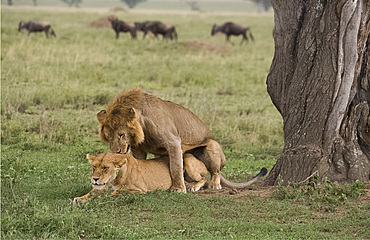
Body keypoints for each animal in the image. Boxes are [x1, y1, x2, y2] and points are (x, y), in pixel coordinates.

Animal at [73, 152, 268, 202]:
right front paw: (79, 199)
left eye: (105, 168)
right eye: (94, 167)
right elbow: (90, 193)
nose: (95, 179)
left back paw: (193, 187)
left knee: (205, 177)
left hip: (186, 162)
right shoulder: (99, 188)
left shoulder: (139, 190)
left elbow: (116, 193)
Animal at [96, 89, 225, 192]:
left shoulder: (173, 142)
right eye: (108, 137)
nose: (116, 152)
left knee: (213, 173)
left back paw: (212, 184)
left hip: (212, 146)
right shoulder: (138, 149)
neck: (143, 127)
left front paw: (178, 188)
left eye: (121, 135)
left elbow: (175, 167)